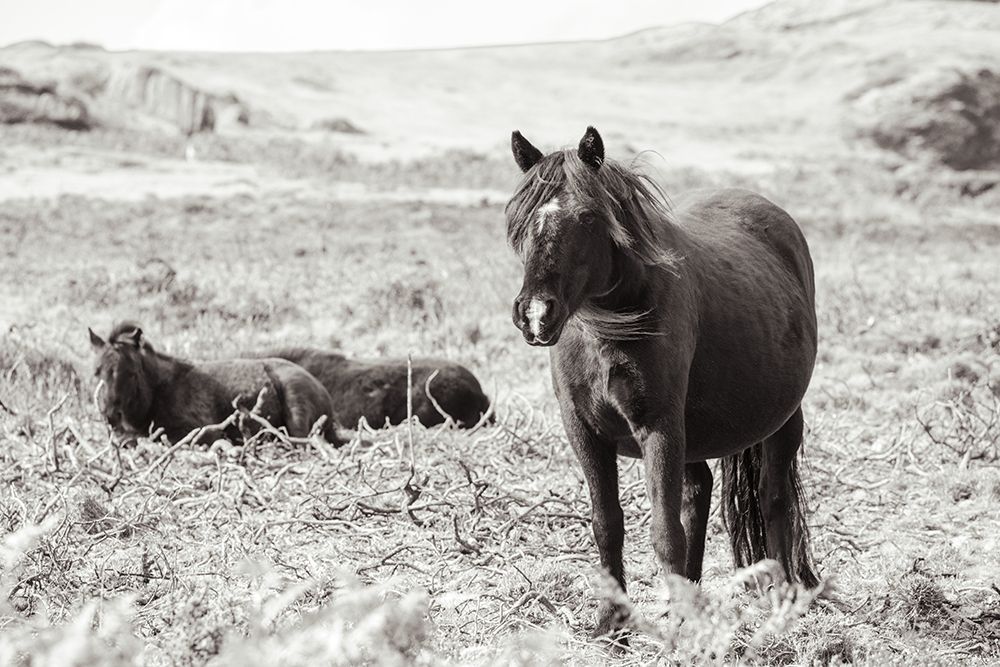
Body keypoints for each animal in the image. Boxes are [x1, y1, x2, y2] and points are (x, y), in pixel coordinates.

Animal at [89, 322, 344, 446]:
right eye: (97, 372)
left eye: (131, 373)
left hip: (296, 409)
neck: (160, 390)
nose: (111, 415)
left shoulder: (202, 432)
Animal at [505, 127, 819, 640]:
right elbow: (608, 524)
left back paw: (782, 598)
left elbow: (665, 531)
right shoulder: (585, 432)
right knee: (699, 491)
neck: (609, 331)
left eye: (588, 216)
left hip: (783, 420)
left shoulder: (659, 428)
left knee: (774, 499)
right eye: (520, 218)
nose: (535, 313)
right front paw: (611, 624)